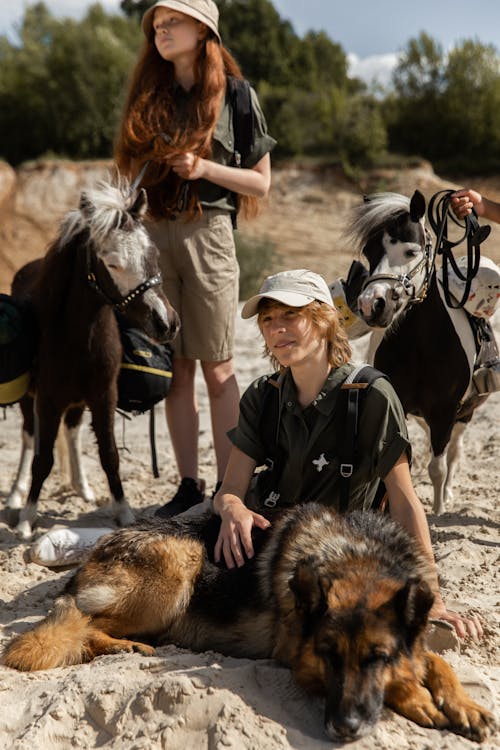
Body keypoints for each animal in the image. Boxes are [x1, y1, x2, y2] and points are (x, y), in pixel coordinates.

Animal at [1, 508, 492, 744]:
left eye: (378, 657)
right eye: (329, 656)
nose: (344, 729)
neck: (354, 557)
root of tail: (97, 551)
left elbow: (435, 662)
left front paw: (464, 704)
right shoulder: (299, 659)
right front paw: (419, 698)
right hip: (182, 561)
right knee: (81, 623)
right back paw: (127, 647)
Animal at [5, 180, 180, 540]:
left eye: (153, 254)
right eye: (111, 263)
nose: (165, 322)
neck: (79, 335)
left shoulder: (103, 396)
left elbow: (109, 454)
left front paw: (123, 511)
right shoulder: (47, 400)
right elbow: (42, 458)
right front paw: (27, 519)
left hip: (77, 401)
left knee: (72, 433)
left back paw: (82, 487)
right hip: (30, 400)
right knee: (29, 436)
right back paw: (16, 494)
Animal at [346, 191, 490, 516]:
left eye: (411, 251)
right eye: (369, 252)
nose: (372, 304)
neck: (421, 346)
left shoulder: (445, 411)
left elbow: (438, 467)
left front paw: (437, 512)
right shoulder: (399, 406)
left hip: (465, 413)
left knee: (454, 453)